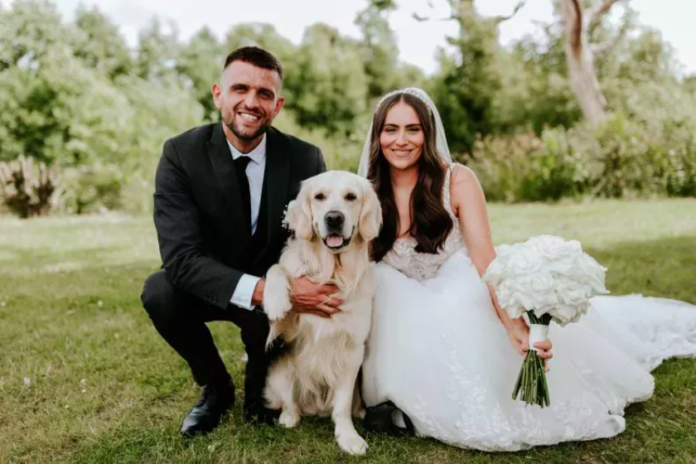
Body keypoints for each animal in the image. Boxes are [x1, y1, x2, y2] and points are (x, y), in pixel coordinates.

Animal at [260, 169, 380, 454]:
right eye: (319, 197)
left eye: (351, 196)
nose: (334, 218)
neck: (332, 271)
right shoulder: (286, 331)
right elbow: (277, 268)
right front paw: (275, 300)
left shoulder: (353, 350)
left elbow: (342, 406)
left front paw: (348, 437)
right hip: (281, 370)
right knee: (288, 401)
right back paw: (289, 417)